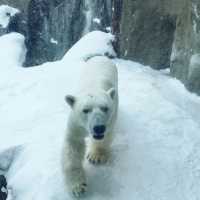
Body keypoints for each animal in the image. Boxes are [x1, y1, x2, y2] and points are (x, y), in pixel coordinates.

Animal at [61, 55, 118, 196]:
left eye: (105, 108)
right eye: (85, 110)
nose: (99, 128)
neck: (93, 87)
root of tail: (101, 56)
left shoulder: (111, 118)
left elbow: (105, 138)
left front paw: (95, 157)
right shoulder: (76, 123)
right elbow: (73, 147)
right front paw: (78, 186)